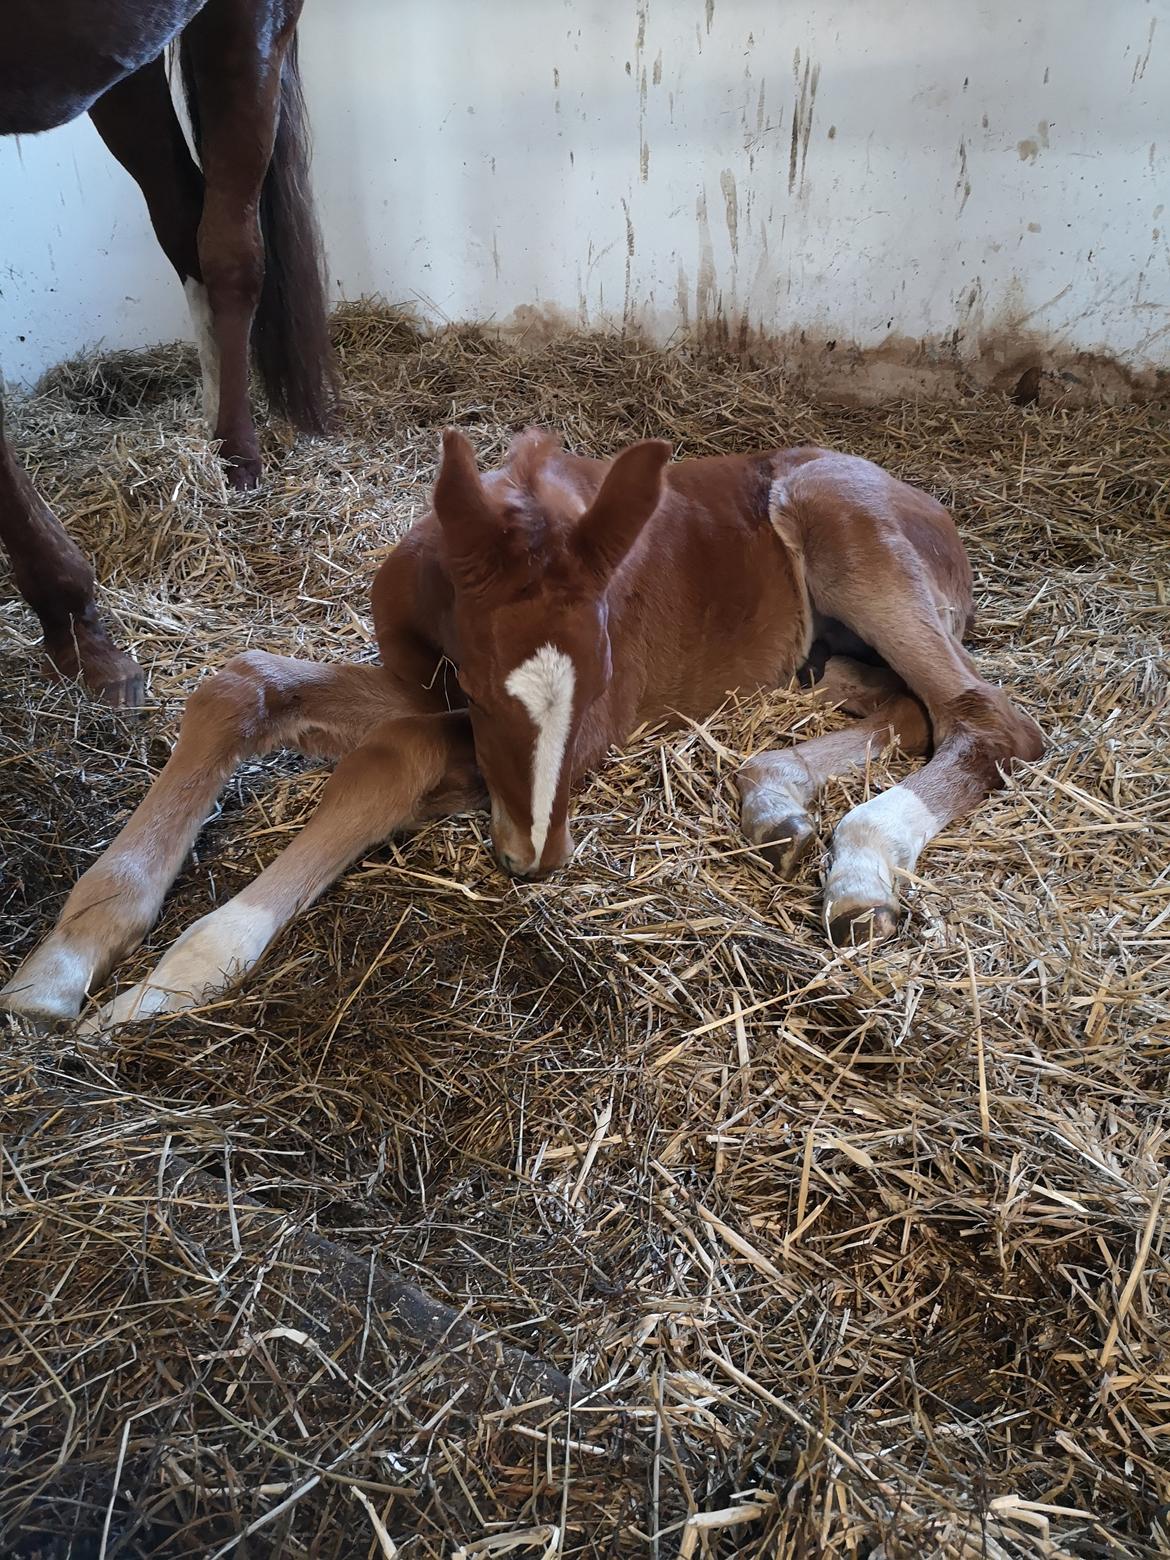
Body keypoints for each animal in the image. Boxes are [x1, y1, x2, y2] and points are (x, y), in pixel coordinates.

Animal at [0, 430, 1042, 1035]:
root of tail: (932, 507)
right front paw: (56, 970)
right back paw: (777, 801)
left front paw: (163, 987)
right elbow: (241, 684)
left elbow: (401, 752)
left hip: (850, 537)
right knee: (901, 707)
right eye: (477, 681)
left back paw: (861, 865)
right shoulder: (422, 685)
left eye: (609, 684)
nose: (534, 862)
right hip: (833, 651)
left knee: (992, 720)